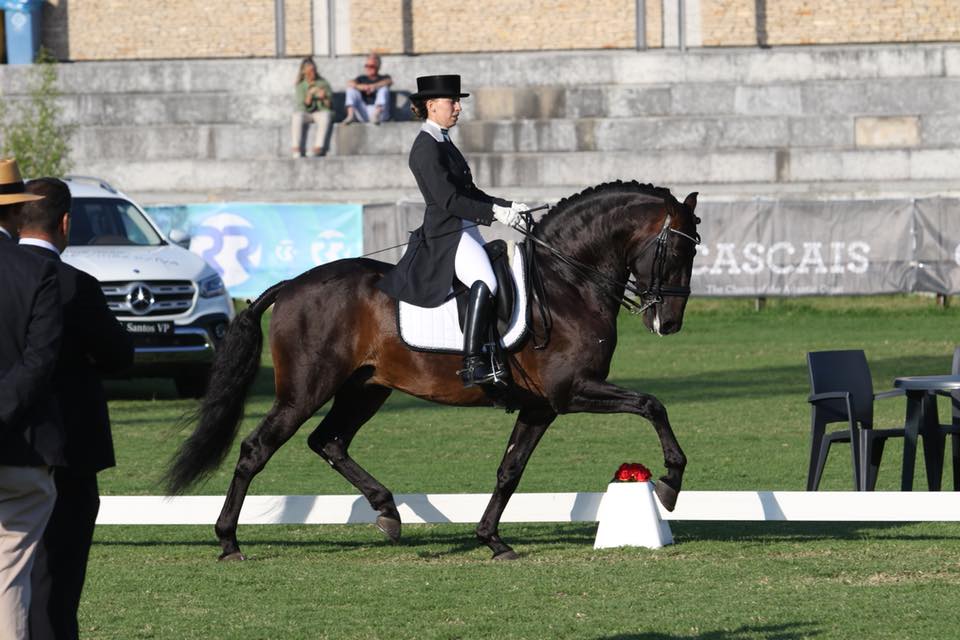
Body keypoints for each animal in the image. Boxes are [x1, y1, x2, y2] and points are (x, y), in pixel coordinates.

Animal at [165, 180, 700, 560]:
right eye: (678, 249)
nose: (670, 323)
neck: (567, 282)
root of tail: (292, 284)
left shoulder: (541, 407)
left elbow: (510, 469)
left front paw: (491, 539)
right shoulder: (573, 392)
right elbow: (652, 404)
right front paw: (670, 484)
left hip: (365, 388)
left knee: (329, 441)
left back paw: (387, 511)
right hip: (305, 390)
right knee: (258, 449)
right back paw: (228, 542)